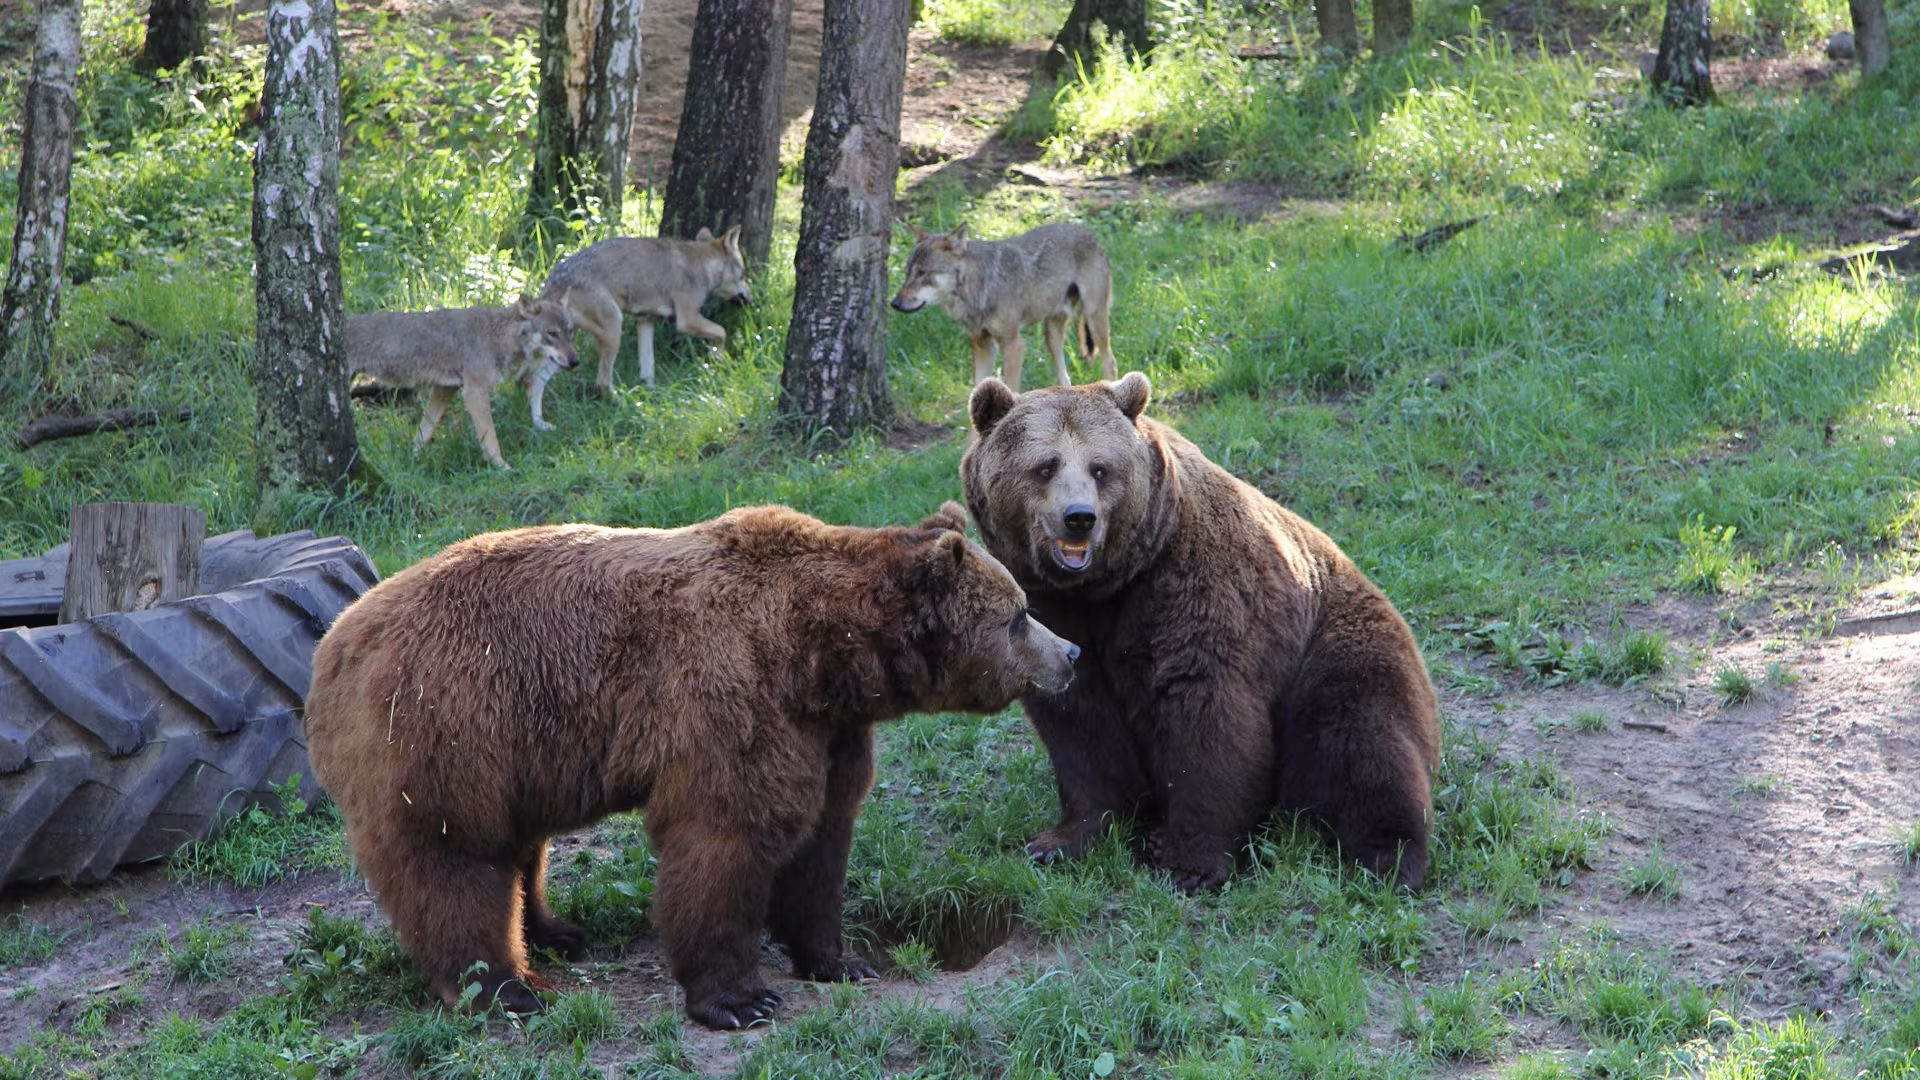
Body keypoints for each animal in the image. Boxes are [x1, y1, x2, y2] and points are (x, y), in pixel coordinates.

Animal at [303, 503, 1078, 1029]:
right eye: (1018, 614)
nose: (1069, 654)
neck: (821, 653)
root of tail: (334, 645)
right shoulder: (728, 697)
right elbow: (725, 840)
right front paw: (739, 998)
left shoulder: (826, 733)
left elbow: (823, 842)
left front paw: (842, 958)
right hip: (448, 723)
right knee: (452, 861)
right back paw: (504, 987)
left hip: (519, 749)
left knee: (522, 846)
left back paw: (556, 933)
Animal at [960, 373, 1441, 892]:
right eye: (1045, 466)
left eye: (1100, 468)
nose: (1079, 517)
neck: (1106, 587)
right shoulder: (1053, 612)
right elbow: (1081, 723)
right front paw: (1060, 840)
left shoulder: (1193, 583)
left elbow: (1205, 715)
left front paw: (1187, 862)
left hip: (1336, 643)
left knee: (1364, 742)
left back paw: (1388, 858)